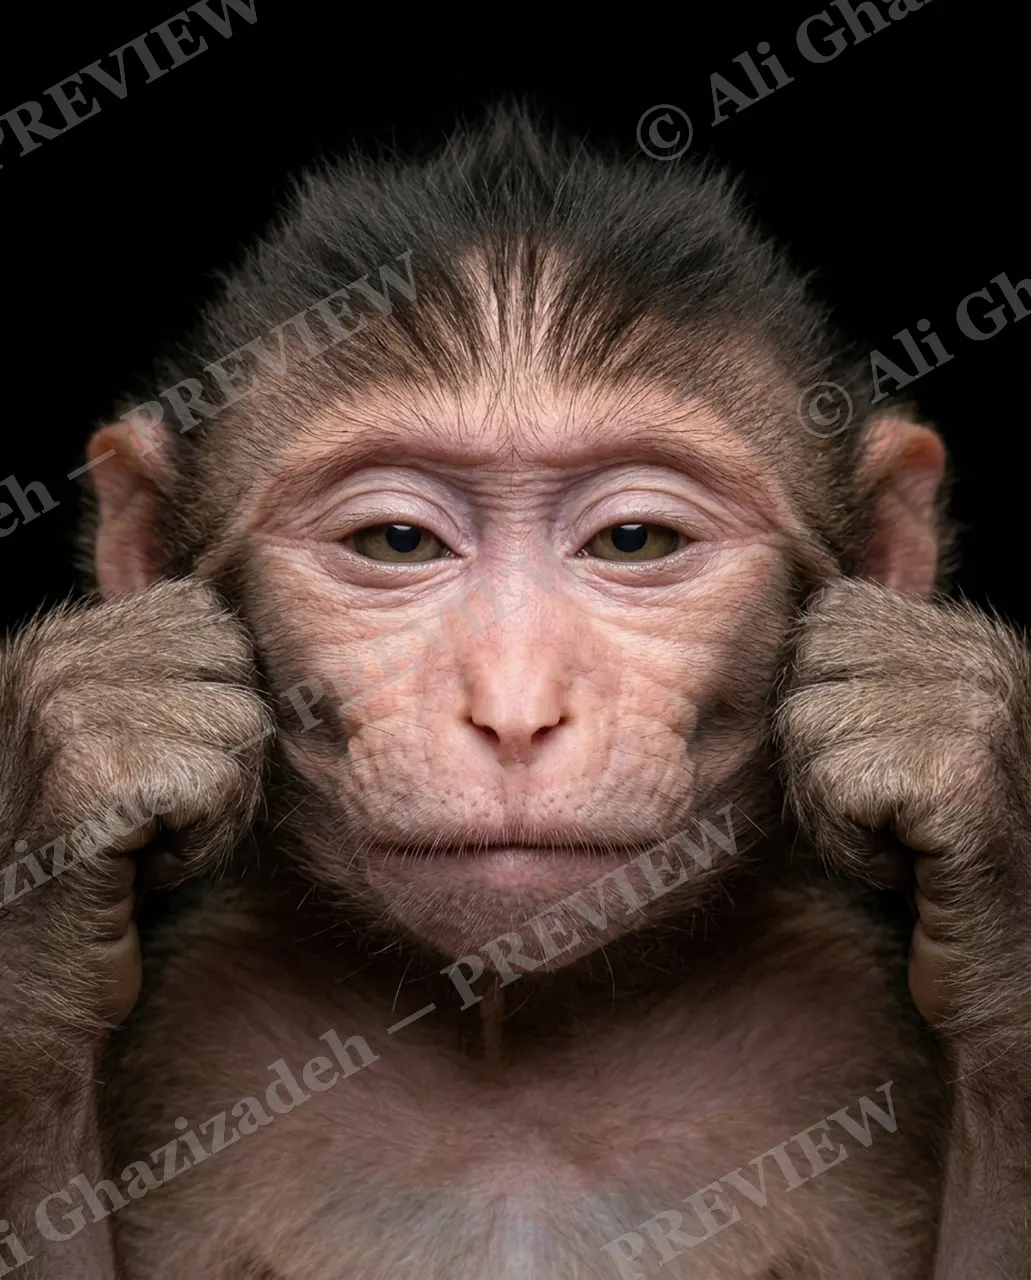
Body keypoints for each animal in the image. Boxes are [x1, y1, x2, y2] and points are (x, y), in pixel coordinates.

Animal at [0, 105, 1027, 1279]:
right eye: (397, 542)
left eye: (634, 541)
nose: (514, 708)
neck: (511, 1041)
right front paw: (59, 821)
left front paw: (981, 811)